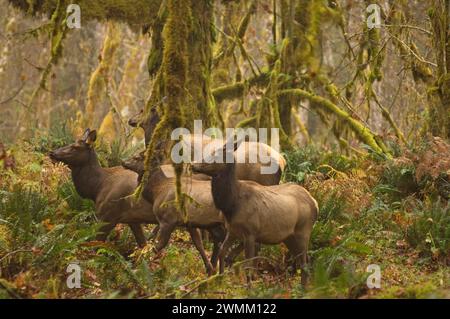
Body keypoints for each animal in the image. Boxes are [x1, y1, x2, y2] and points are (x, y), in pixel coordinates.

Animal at [192, 139, 318, 286]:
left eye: (216, 155)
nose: (193, 164)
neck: (232, 204)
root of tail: (315, 203)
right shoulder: (233, 230)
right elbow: (222, 252)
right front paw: (220, 280)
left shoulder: (250, 232)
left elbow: (247, 265)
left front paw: (248, 286)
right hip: (289, 237)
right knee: (305, 260)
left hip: (303, 231)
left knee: (304, 263)